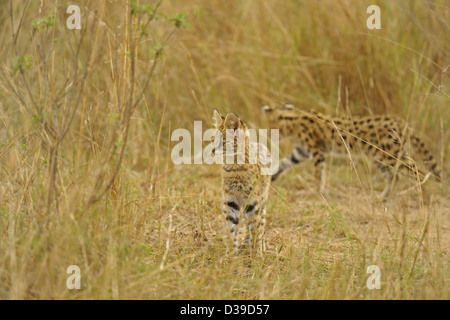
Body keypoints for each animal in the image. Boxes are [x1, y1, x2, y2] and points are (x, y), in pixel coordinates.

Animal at [214, 109, 272, 254]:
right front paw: (231, 255)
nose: (212, 151)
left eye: (223, 142)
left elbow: (255, 230)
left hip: (263, 198)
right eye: (213, 141)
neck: (234, 168)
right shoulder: (230, 202)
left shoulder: (253, 203)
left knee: (261, 223)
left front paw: (255, 255)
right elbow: (231, 230)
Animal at [262, 104, 442, 198]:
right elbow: (283, 163)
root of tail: (402, 122)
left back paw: (422, 195)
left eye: (270, 126)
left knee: (418, 170)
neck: (293, 120)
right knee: (394, 177)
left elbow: (319, 173)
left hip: (391, 155)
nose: (269, 136)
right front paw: (273, 176)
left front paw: (317, 192)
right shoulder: (301, 153)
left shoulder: (316, 151)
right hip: (380, 157)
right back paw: (383, 197)